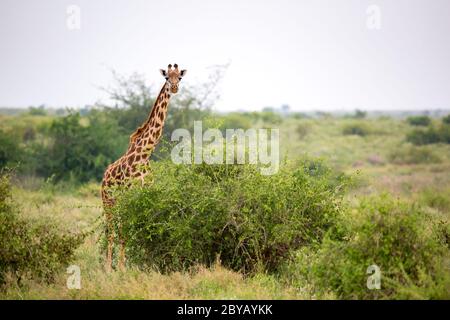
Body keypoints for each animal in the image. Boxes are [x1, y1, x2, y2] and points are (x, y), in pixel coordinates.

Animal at [101, 63, 186, 272]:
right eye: (167, 78)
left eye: (179, 77)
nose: (174, 88)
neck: (144, 153)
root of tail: (104, 177)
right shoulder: (129, 196)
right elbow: (124, 233)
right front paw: (122, 269)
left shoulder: (145, 194)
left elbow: (141, 228)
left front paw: (137, 265)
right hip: (108, 202)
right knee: (111, 232)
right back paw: (108, 267)